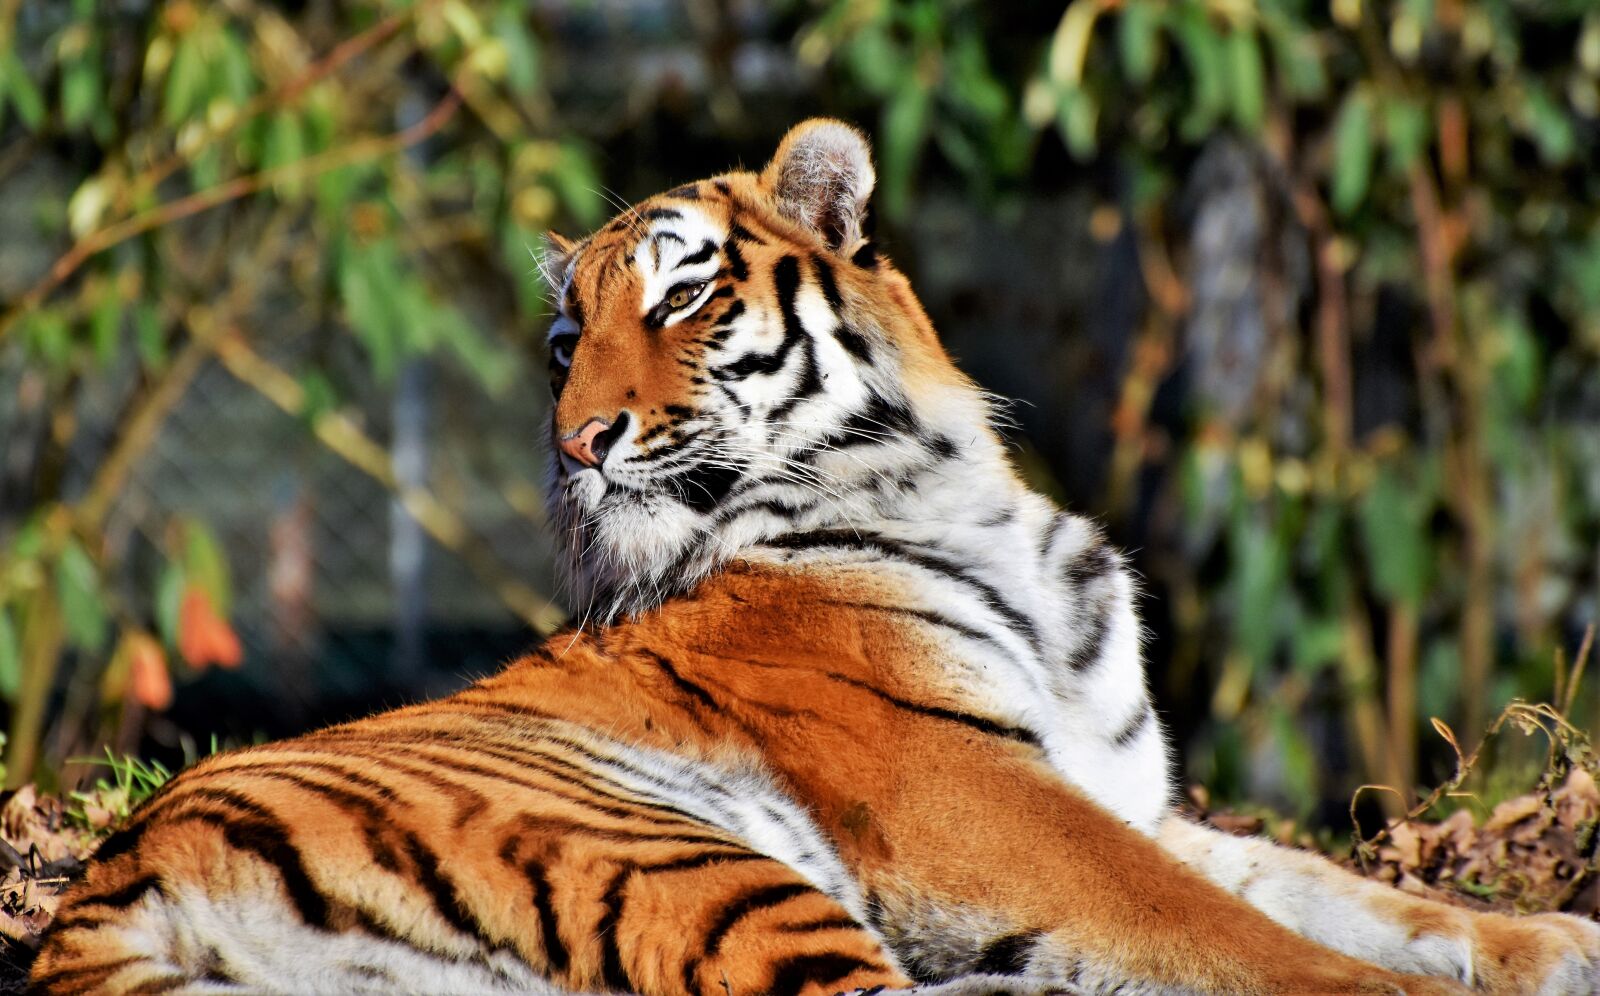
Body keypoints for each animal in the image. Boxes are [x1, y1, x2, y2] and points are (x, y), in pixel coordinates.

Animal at [30, 119, 1600, 995]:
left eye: (675, 301)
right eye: (564, 341)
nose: (575, 441)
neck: (973, 502)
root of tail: (99, 897)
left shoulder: (1119, 795)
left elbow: (1352, 897)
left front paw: (1556, 949)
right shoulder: (979, 799)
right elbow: (1253, 942)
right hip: (673, 850)